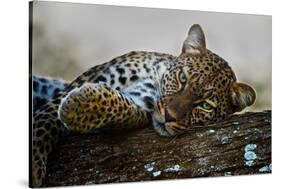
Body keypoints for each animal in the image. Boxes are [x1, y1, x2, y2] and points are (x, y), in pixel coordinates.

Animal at [31, 24, 255, 187]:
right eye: (183, 78)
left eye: (206, 106)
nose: (169, 116)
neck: (154, 79)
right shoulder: (73, 87)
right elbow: (44, 125)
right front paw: (34, 168)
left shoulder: (139, 106)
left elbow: (120, 108)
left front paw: (80, 105)